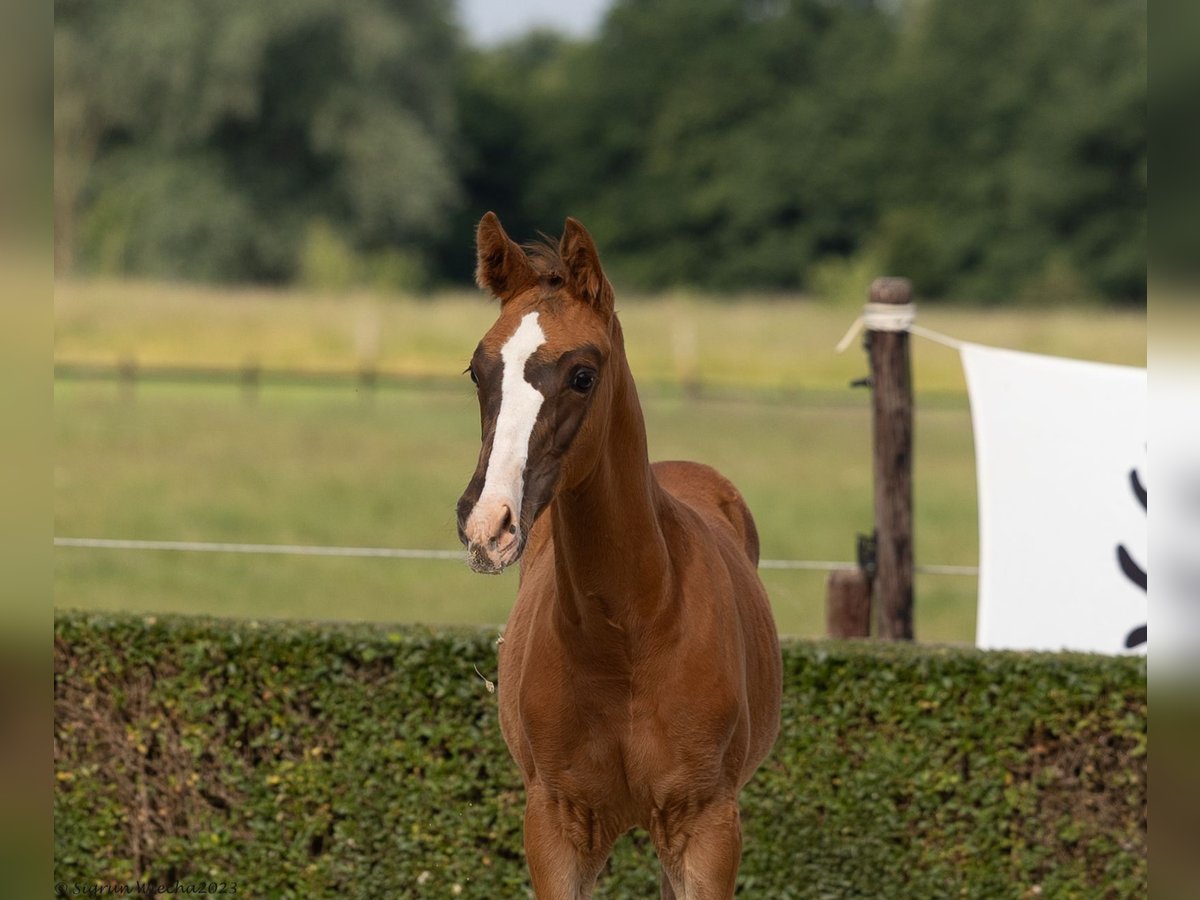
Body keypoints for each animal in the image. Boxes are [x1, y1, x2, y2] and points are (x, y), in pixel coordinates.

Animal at [453, 214, 782, 897]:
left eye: (583, 374)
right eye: (477, 371)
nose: (488, 524)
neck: (629, 632)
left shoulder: (707, 827)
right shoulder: (555, 824)